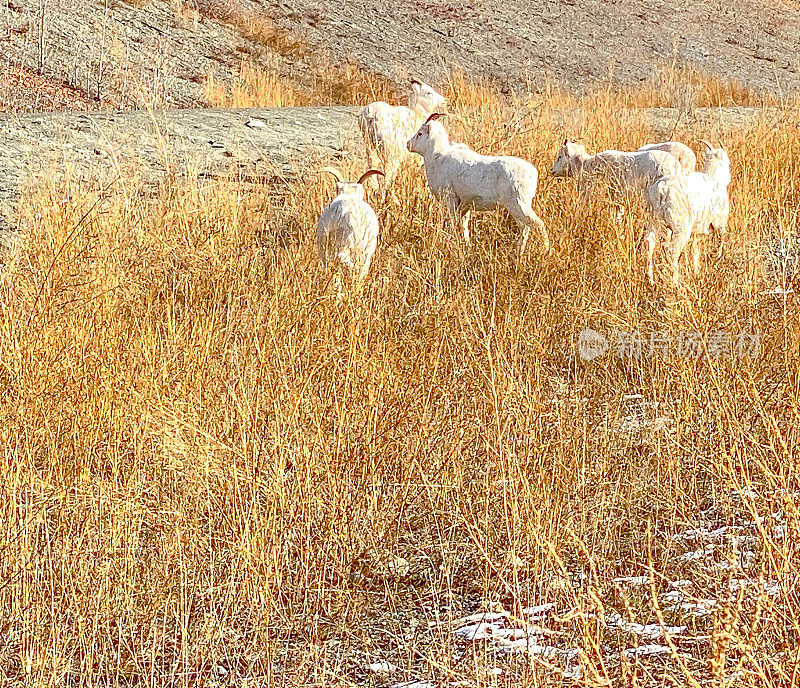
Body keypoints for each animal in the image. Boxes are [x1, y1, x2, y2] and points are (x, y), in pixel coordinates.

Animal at [410, 113, 548, 258]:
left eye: (420, 133)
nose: (408, 144)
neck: (436, 157)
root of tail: (533, 173)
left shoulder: (450, 200)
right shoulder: (464, 205)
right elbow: (463, 226)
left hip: (518, 204)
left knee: (536, 225)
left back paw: (544, 251)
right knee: (525, 228)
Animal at [644, 141, 732, 286]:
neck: (714, 178)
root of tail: (662, 189)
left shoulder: (697, 229)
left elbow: (695, 250)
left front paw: (696, 271)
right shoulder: (720, 223)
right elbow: (720, 243)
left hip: (653, 221)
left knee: (649, 245)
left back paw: (650, 280)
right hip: (680, 228)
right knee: (671, 251)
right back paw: (675, 283)